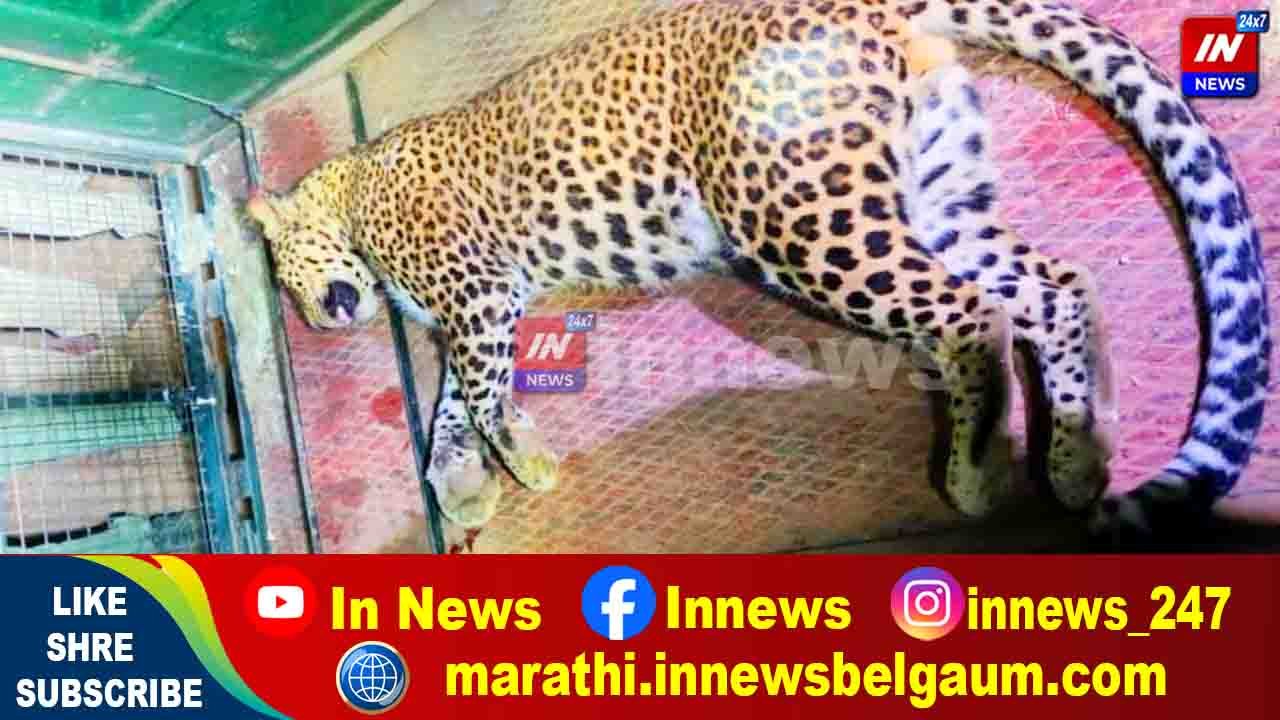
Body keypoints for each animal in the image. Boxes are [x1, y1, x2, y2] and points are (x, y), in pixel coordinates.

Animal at [246, 0, 1268, 543]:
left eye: (286, 283)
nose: (321, 319)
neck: (352, 186)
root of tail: (872, 8)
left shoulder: (478, 300)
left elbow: (483, 394)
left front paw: (522, 465)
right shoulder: (477, 310)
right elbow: (451, 405)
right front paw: (464, 483)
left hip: (799, 219)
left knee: (972, 314)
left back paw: (978, 475)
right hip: (935, 194)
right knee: (1057, 287)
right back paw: (1078, 455)